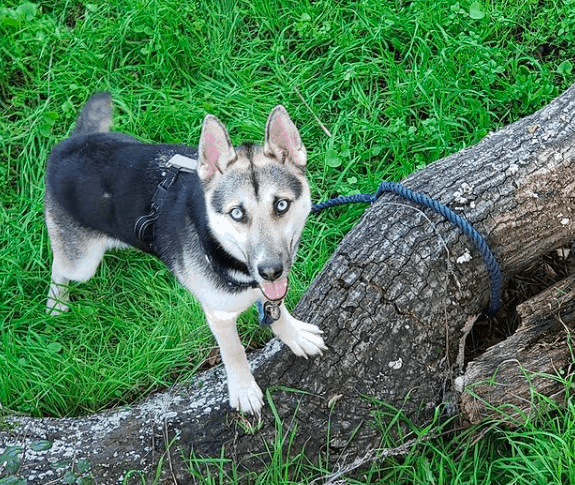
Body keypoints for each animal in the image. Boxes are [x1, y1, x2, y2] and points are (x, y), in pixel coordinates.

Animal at [44, 92, 324, 414]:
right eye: (237, 213)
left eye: (281, 204)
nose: (270, 270)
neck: (219, 246)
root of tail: (69, 144)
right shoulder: (218, 315)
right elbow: (234, 351)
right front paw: (243, 388)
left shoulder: (266, 289)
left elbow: (276, 311)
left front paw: (294, 335)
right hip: (83, 263)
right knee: (59, 266)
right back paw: (56, 302)